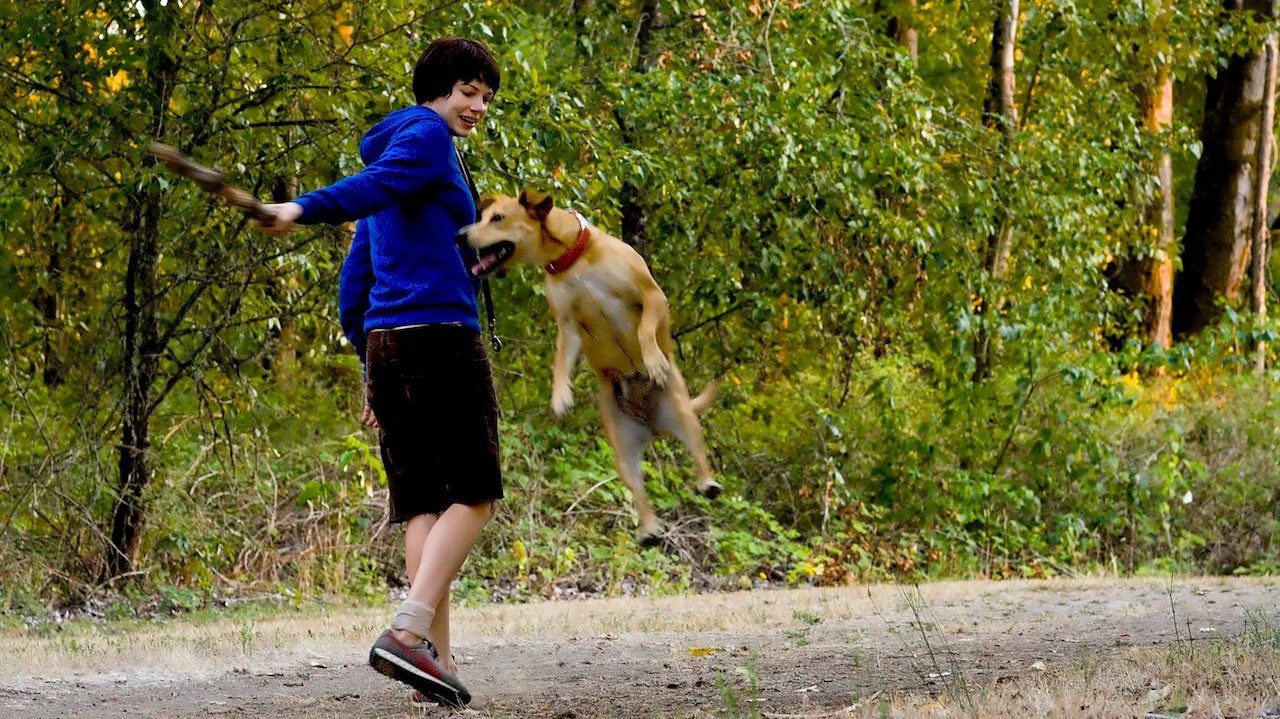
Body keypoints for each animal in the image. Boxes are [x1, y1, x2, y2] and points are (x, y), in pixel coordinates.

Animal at [458, 189, 721, 542]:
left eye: (497, 218)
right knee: (637, 489)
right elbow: (560, 361)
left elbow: (644, 329)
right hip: (622, 451)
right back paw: (649, 528)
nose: (460, 235)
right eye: (483, 217)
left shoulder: (652, 296)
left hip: (684, 414)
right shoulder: (568, 326)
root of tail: (654, 427)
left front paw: (653, 359)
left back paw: (707, 482)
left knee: (698, 454)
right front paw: (560, 395)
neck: (573, 260)